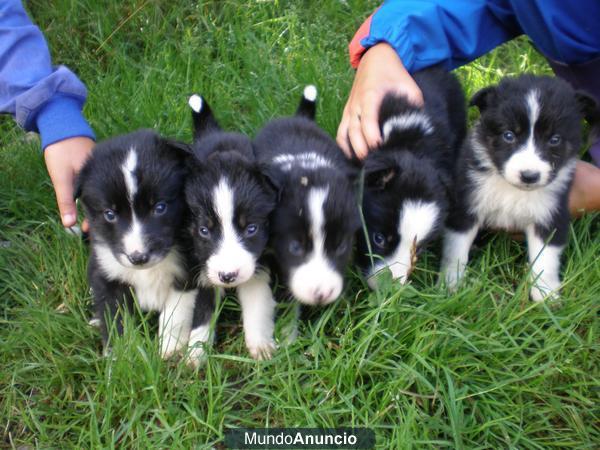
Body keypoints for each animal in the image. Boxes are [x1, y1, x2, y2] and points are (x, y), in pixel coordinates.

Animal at [75, 130, 209, 366]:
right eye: (110, 214)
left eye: (160, 207)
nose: (138, 258)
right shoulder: (107, 273)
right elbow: (114, 316)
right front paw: (121, 356)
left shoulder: (187, 273)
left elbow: (175, 313)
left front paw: (170, 348)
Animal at [184, 94, 278, 358]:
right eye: (204, 231)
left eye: (251, 229)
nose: (228, 276)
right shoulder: (203, 267)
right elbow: (203, 309)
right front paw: (195, 353)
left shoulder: (259, 263)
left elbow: (257, 302)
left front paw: (261, 345)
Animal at [438, 75, 596, 302]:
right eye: (509, 135)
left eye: (554, 139)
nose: (529, 176)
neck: (513, 190)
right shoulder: (467, 203)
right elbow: (456, 248)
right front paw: (450, 285)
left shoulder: (550, 212)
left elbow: (546, 257)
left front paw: (546, 296)